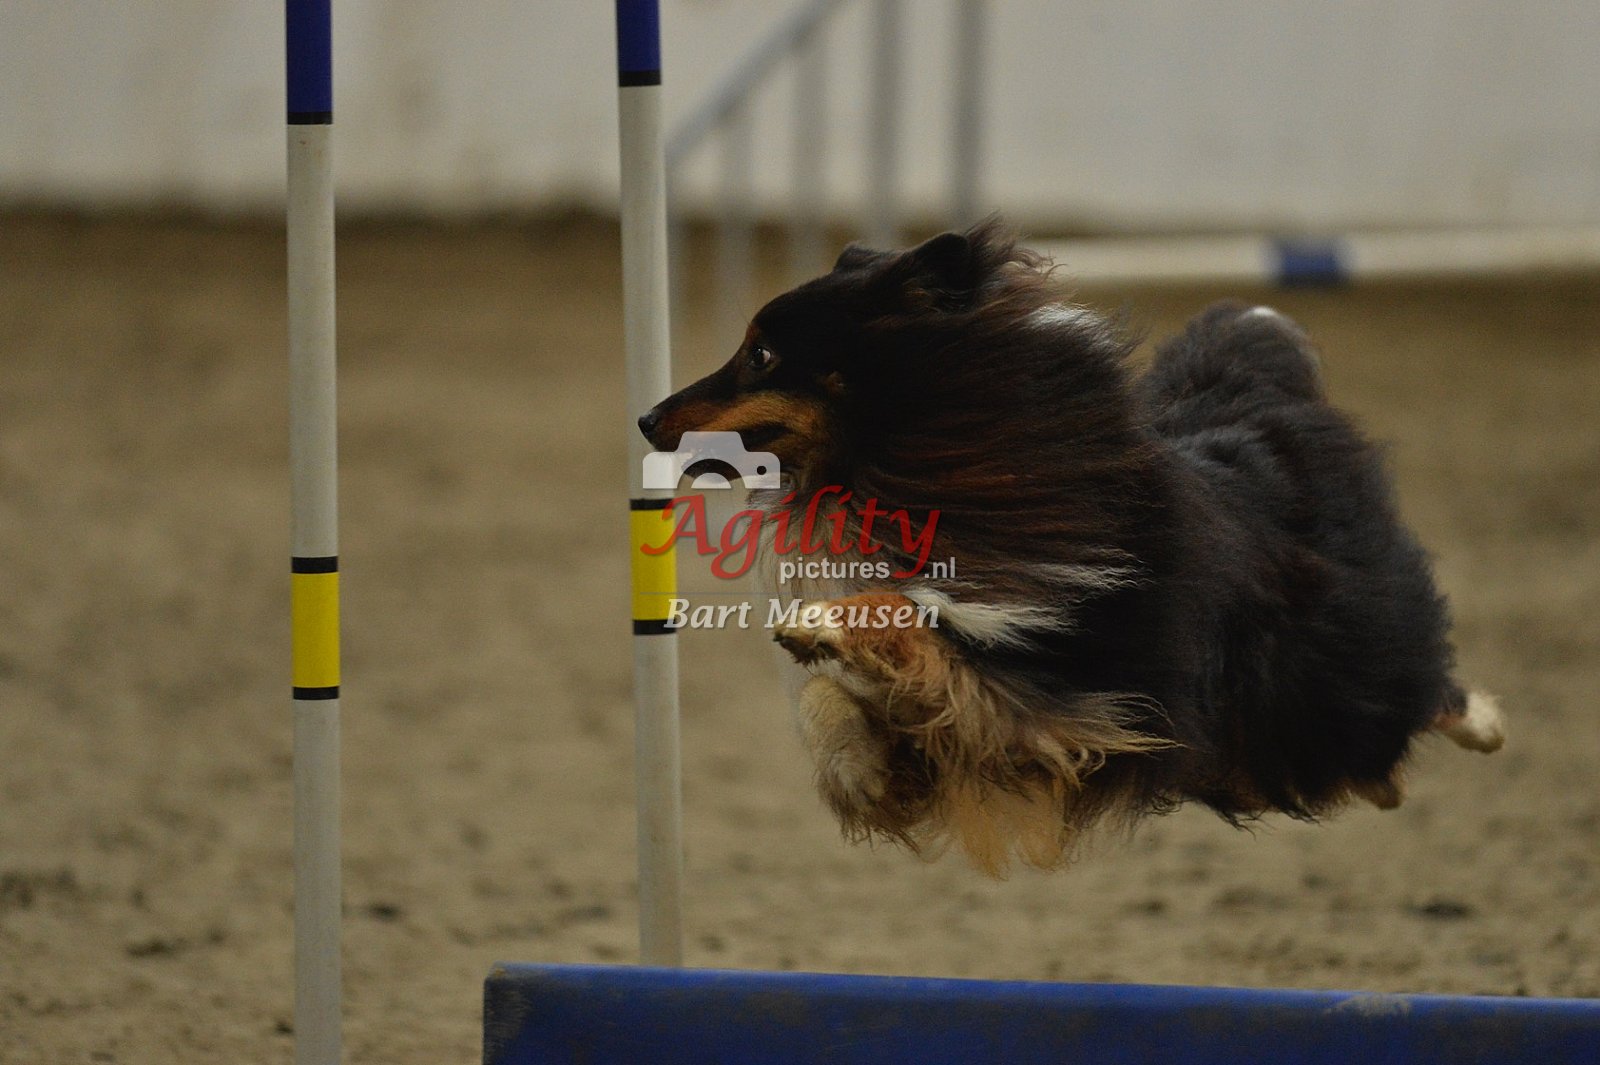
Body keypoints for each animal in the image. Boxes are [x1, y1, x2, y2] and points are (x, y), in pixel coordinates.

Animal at [637, 219, 1505, 875]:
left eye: (762, 355)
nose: (646, 417)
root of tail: (1258, 401)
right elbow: (831, 697)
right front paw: (861, 772)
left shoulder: (1051, 696)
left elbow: (908, 620)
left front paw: (826, 631)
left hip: (1327, 681)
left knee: (1413, 698)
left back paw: (1484, 723)